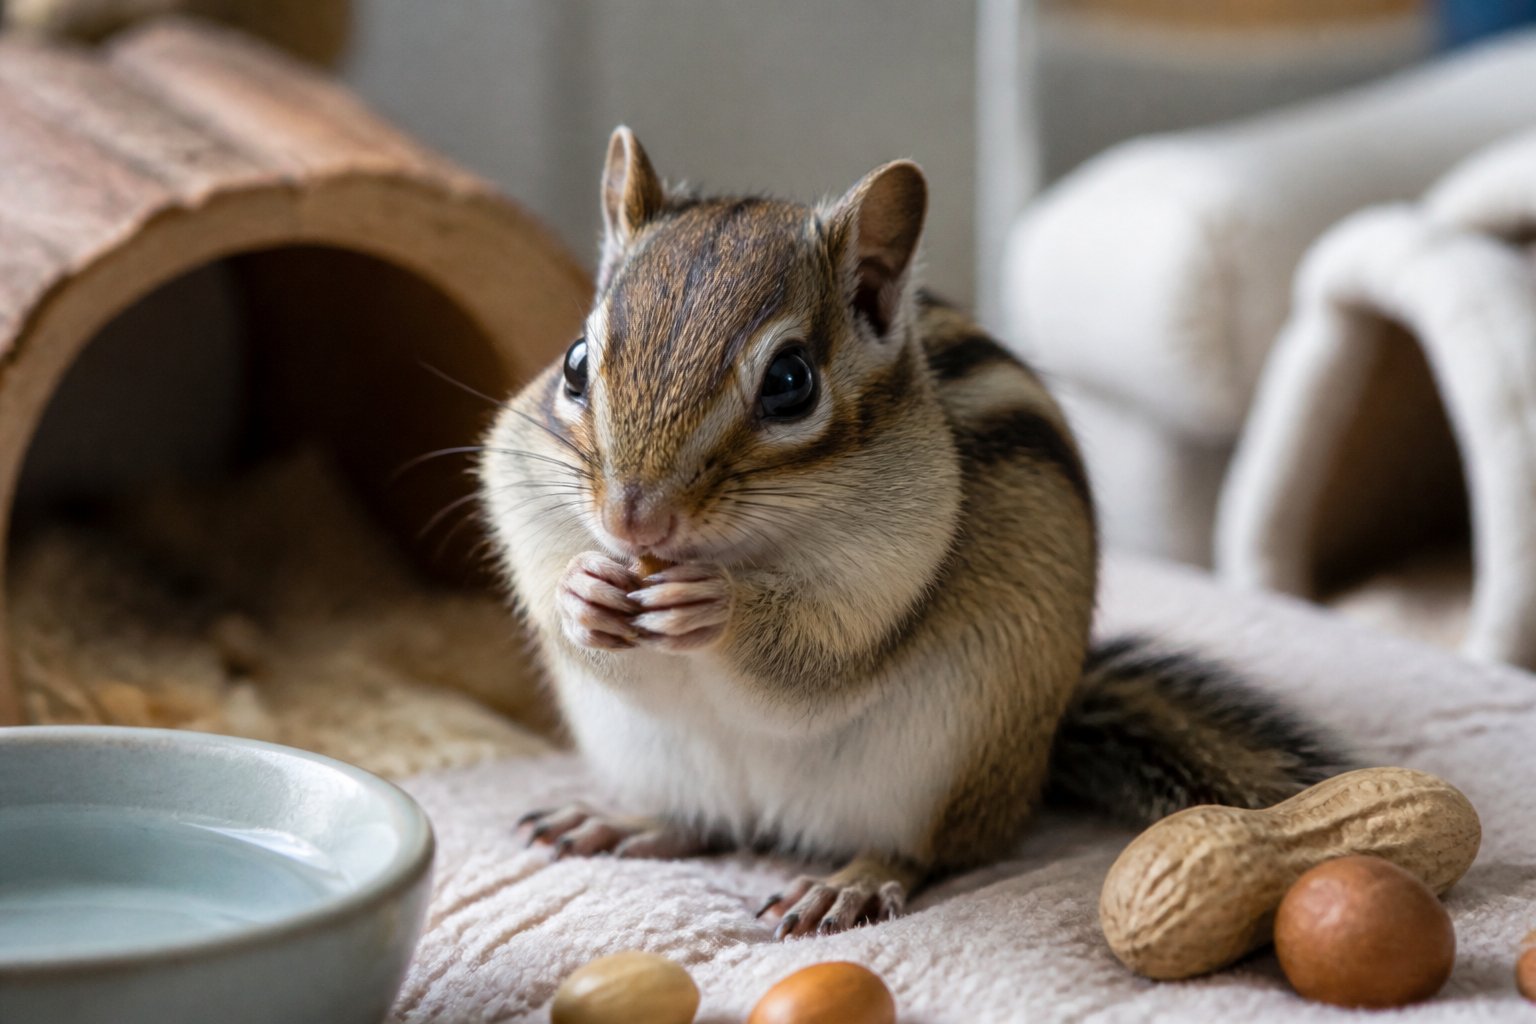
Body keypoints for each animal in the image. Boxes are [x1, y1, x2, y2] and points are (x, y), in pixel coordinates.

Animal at [478, 127, 1345, 939]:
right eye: (575, 363)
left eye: (790, 381)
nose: (634, 518)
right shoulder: (522, 489)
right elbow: (567, 609)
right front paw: (583, 592)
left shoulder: (888, 566)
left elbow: (812, 665)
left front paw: (717, 606)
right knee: (703, 824)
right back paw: (624, 821)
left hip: (939, 771)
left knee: (922, 852)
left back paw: (849, 882)